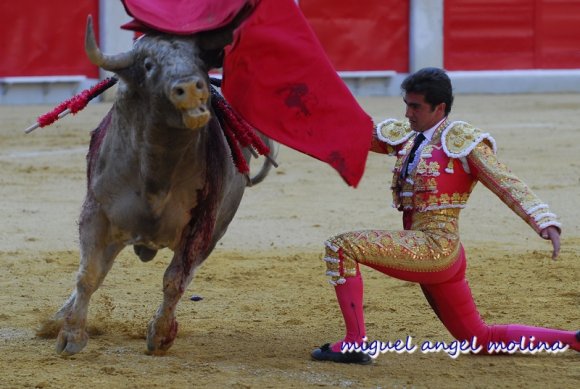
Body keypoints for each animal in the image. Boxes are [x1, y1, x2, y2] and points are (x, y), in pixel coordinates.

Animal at [44, 15, 276, 354]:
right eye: (149, 65)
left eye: (201, 61)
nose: (191, 89)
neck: (156, 172)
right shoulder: (96, 213)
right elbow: (88, 274)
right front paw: (70, 335)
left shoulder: (202, 225)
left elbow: (175, 279)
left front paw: (160, 334)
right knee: (100, 269)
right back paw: (56, 319)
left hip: (215, 232)